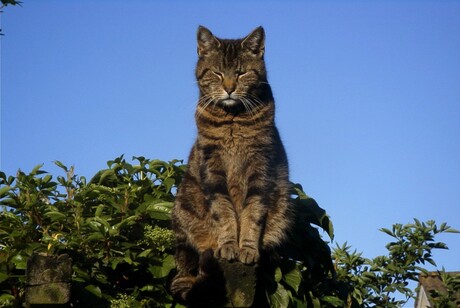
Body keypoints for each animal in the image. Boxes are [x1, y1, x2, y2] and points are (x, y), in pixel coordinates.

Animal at [171, 25, 292, 304]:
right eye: (217, 73)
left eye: (241, 72)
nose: (228, 88)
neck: (232, 120)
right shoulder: (212, 168)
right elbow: (223, 211)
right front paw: (228, 246)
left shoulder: (260, 167)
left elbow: (253, 213)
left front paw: (246, 248)